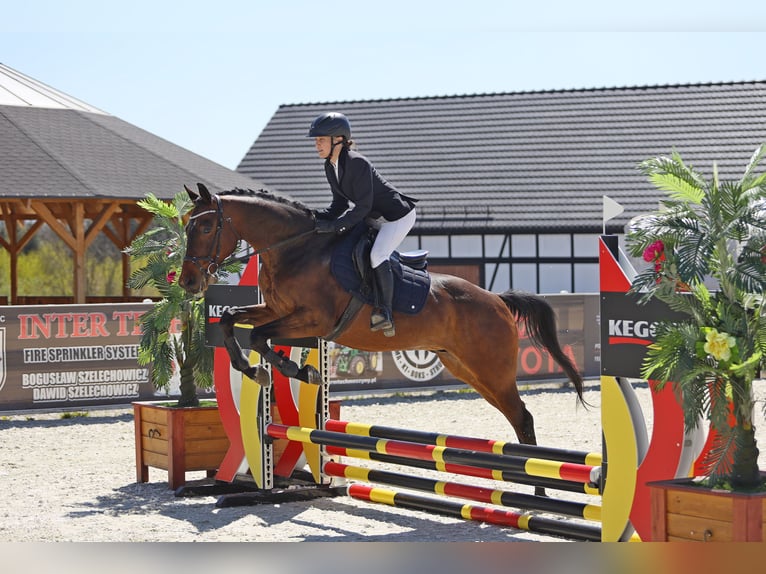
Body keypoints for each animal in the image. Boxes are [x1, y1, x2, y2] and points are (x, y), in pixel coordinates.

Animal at [179, 183, 586, 471]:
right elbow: (232, 321)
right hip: (467, 369)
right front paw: (255, 369)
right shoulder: (274, 309)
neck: (296, 250)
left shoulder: (314, 319)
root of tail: (498, 300)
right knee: (516, 416)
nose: (188, 282)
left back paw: (535, 490)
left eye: (206, 226)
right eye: (187, 225)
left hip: (492, 371)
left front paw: (299, 370)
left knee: (523, 417)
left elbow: (260, 336)